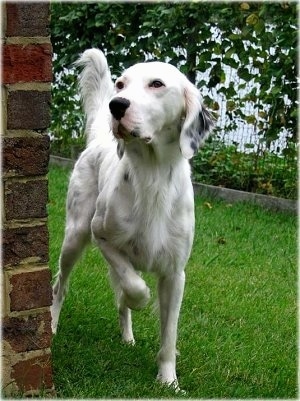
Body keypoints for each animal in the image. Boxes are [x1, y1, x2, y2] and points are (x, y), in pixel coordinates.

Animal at [51, 47, 213, 388]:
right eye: (121, 84)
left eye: (157, 84)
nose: (116, 105)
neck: (152, 177)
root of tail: (98, 139)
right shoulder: (102, 237)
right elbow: (135, 288)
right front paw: (139, 300)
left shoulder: (175, 274)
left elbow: (169, 336)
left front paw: (168, 380)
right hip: (75, 236)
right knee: (61, 286)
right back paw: (53, 324)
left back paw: (127, 338)